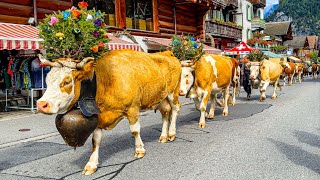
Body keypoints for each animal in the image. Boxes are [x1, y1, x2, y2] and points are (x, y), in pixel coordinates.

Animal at [36, 48, 181, 174]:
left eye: (66, 82)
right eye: (47, 80)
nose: (41, 104)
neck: (107, 80)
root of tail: (167, 53)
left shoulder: (133, 108)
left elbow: (135, 130)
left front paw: (140, 150)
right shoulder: (98, 116)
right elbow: (95, 141)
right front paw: (91, 164)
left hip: (173, 93)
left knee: (175, 109)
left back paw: (172, 133)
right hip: (161, 96)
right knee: (165, 112)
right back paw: (163, 136)